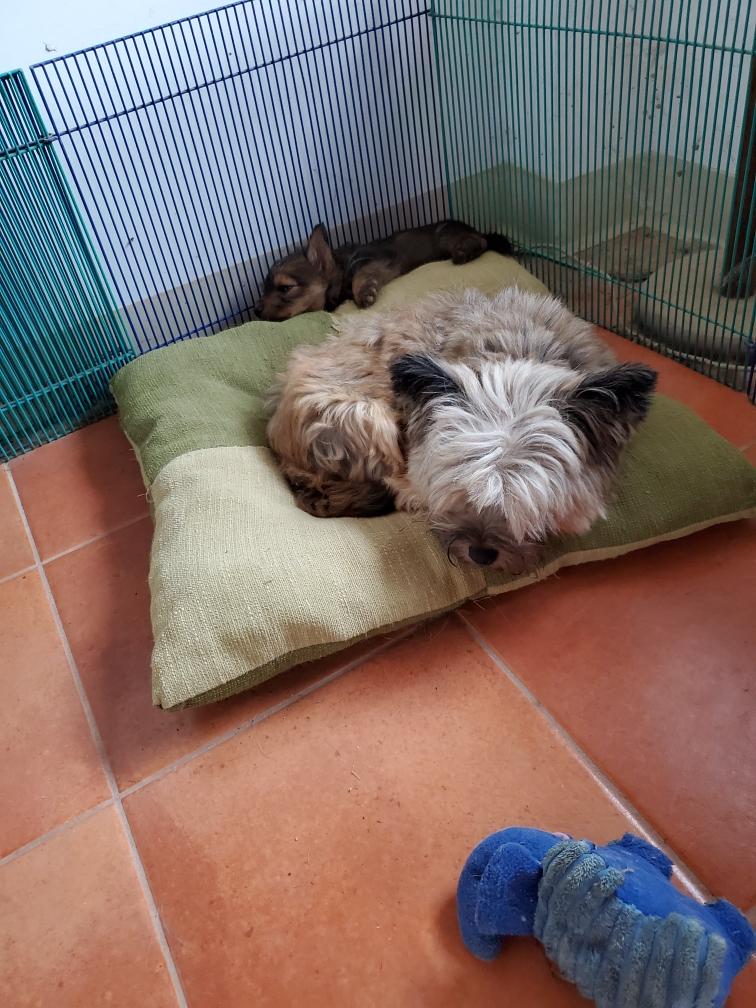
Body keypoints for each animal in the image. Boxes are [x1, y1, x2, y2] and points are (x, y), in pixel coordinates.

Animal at [255, 221, 513, 320]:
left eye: (285, 288)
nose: (256, 311)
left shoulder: (377, 262)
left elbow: (360, 277)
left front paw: (365, 294)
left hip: (446, 235)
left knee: (481, 241)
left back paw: (465, 251)